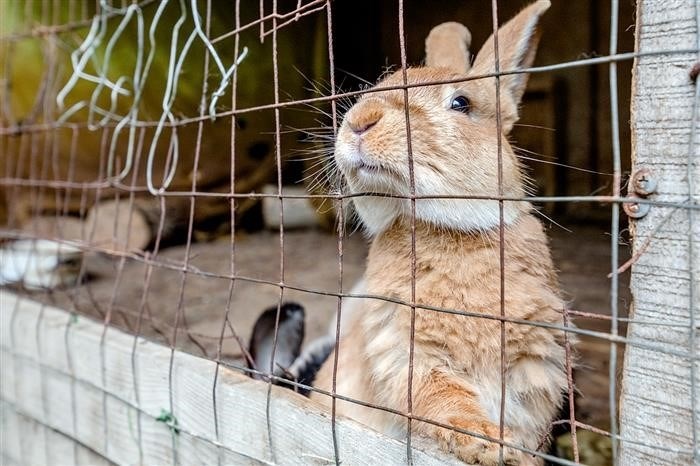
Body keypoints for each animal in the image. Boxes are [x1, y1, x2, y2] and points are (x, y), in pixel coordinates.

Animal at [308, 1, 572, 464]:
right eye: (383, 84)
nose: (360, 121)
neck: (446, 229)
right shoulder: (405, 350)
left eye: (461, 103)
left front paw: (512, 452)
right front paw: (486, 441)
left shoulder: (535, 366)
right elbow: (441, 399)